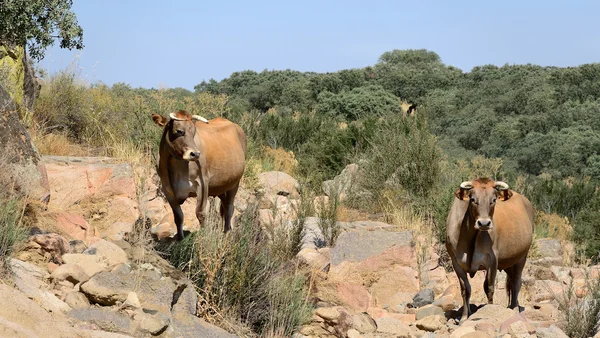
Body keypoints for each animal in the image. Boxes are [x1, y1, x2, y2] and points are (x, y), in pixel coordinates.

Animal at [152, 109, 246, 239]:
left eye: (194, 133)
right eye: (179, 131)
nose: (195, 154)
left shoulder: (202, 184)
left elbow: (200, 213)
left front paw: (203, 236)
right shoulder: (167, 189)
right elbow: (178, 216)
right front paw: (180, 239)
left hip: (235, 183)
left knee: (229, 208)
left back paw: (226, 233)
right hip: (222, 187)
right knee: (224, 207)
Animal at [446, 177, 536, 322]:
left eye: (493, 200)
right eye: (472, 199)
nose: (484, 223)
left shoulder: (492, 260)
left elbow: (489, 287)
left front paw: (489, 312)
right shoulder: (456, 262)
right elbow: (465, 289)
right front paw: (465, 316)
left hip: (522, 257)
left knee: (516, 282)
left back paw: (514, 308)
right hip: (509, 262)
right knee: (511, 281)